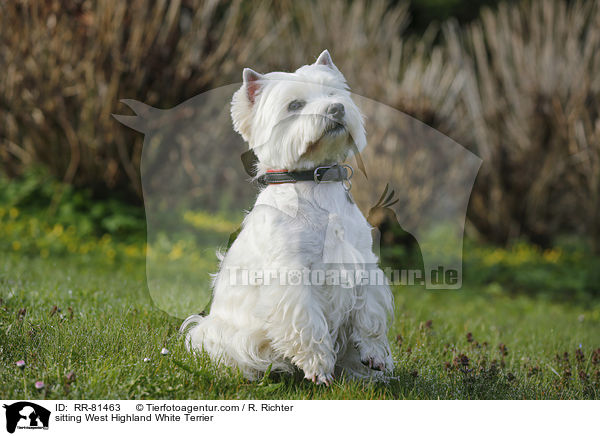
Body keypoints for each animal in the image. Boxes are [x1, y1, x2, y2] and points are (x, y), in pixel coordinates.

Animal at [180, 51, 394, 384]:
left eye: (333, 93)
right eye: (295, 105)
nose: (336, 108)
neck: (314, 181)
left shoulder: (362, 261)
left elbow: (369, 311)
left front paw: (374, 353)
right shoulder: (292, 275)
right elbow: (308, 323)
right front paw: (319, 366)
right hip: (219, 336)